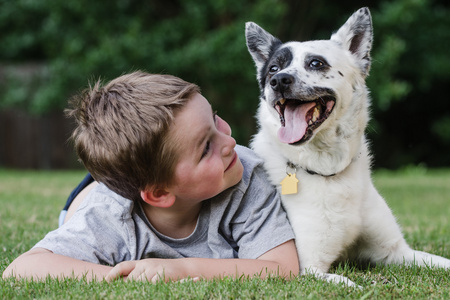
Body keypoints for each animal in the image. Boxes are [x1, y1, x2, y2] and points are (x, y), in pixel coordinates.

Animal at [246, 5, 450, 284]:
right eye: (273, 69)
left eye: (316, 63)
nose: (279, 81)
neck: (330, 173)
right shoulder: (307, 269)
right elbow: (348, 283)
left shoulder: (398, 252)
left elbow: (441, 261)